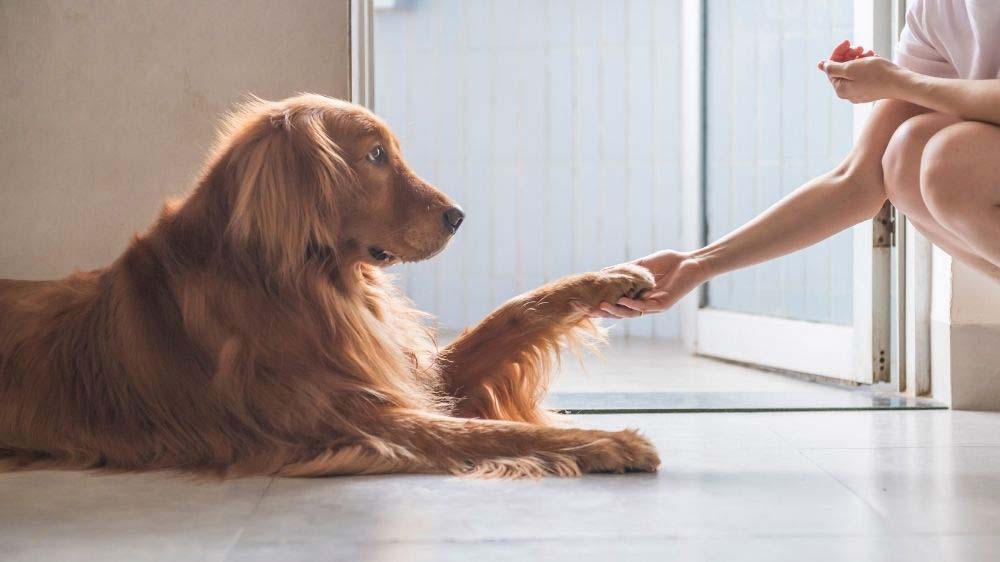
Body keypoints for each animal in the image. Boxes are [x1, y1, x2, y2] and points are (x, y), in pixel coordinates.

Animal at [0, 94, 660, 474]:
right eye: (375, 156)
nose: (458, 216)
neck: (306, 285)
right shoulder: (364, 420)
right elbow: (489, 434)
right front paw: (606, 441)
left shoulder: (413, 377)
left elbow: (517, 311)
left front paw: (612, 278)